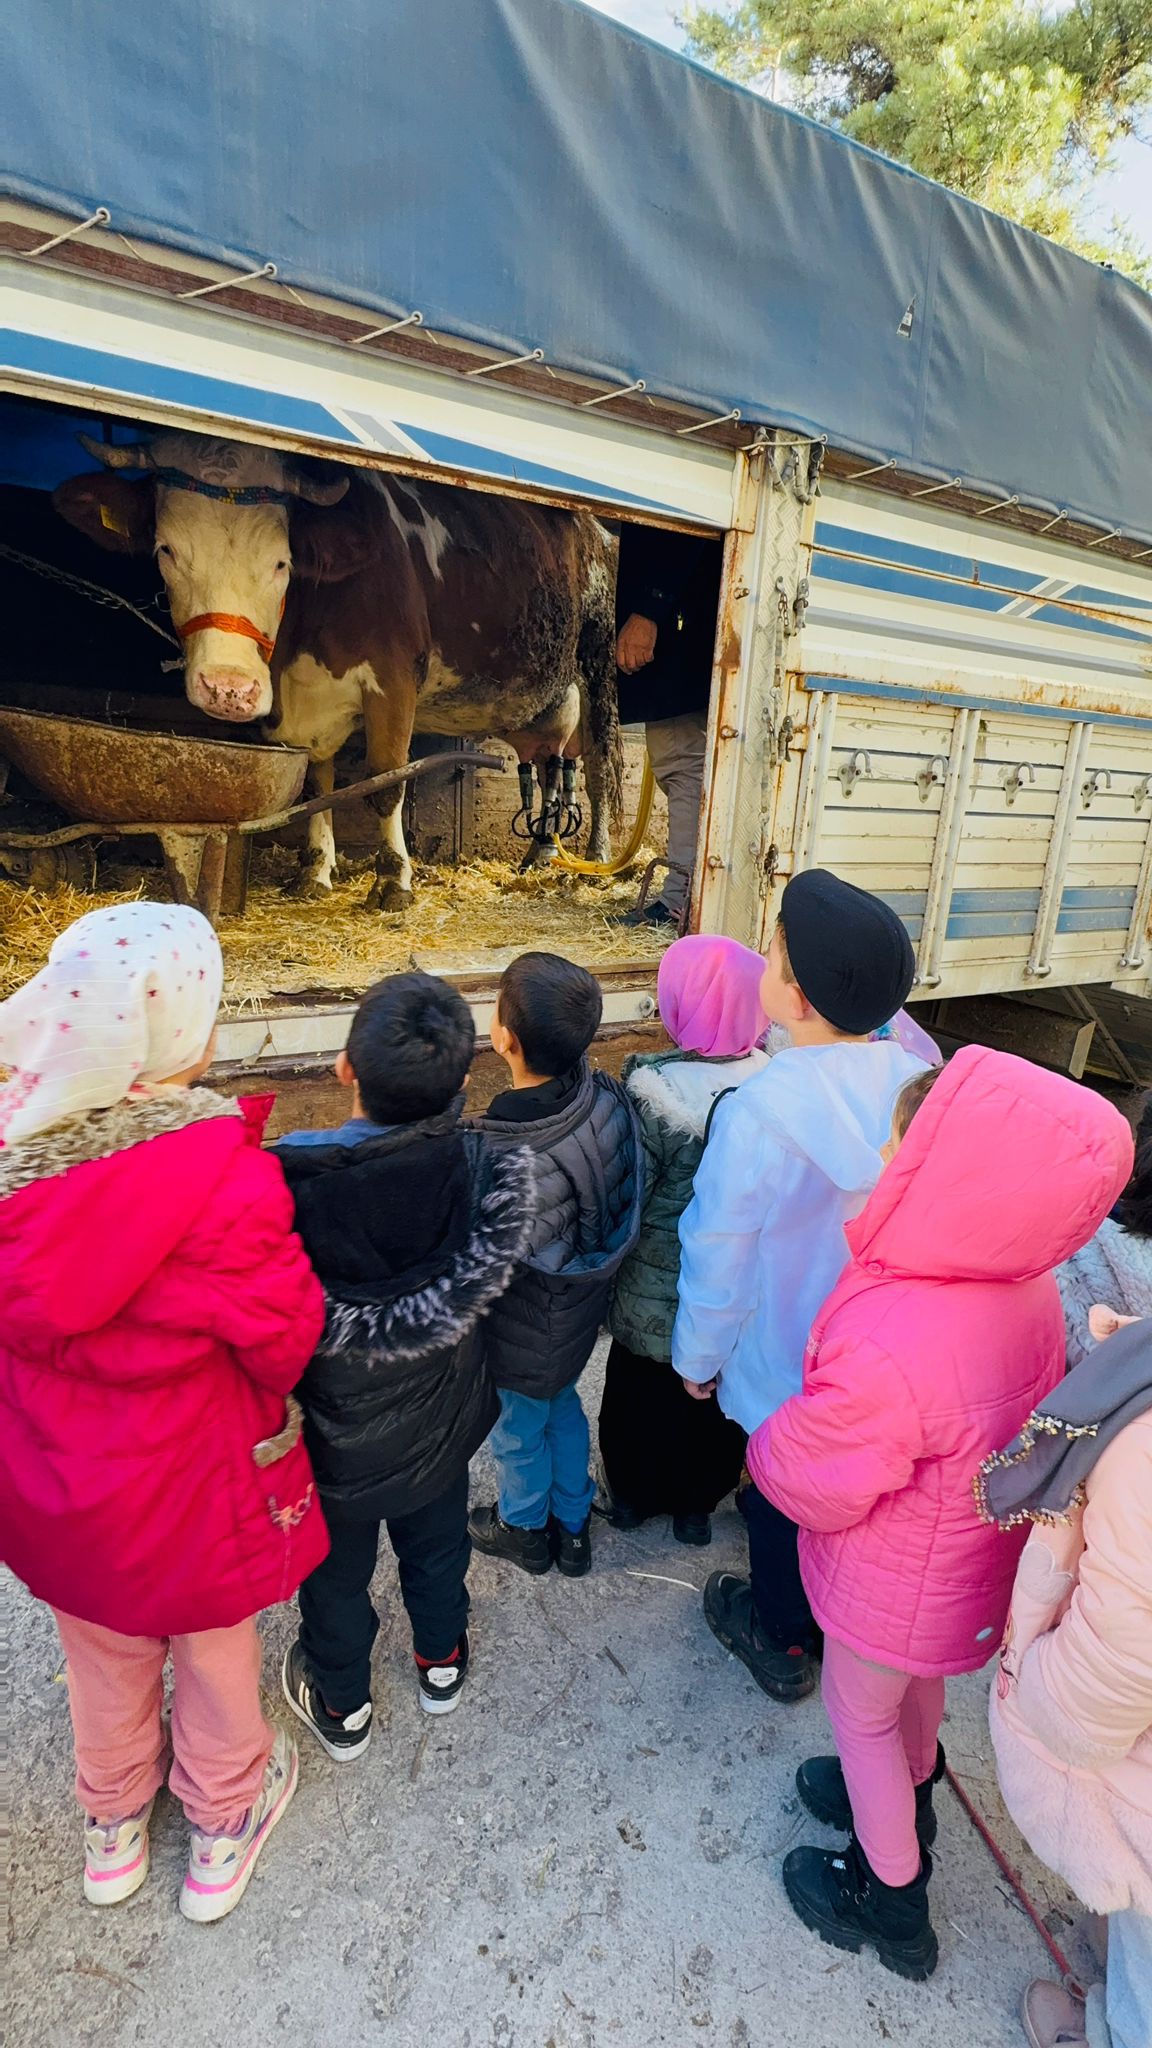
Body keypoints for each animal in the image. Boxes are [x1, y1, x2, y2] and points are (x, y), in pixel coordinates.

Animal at [56, 432, 619, 905]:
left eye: (282, 562)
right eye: (165, 549)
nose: (228, 688)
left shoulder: (393, 680)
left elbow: (385, 782)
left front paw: (393, 881)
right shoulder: (299, 711)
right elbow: (315, 786)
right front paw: (314, 872)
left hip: (598, 670)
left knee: (598, 766)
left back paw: (599, 859)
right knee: (548, 761)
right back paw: (540, 854)